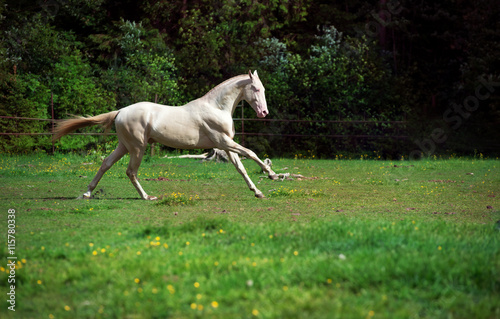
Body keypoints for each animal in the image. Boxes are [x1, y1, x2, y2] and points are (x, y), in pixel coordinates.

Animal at [53, 71, 280, 200]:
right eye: (256, 88)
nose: (264, 112)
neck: (216, 107)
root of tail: (120, 112)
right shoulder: (224, 141)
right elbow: (251, 153)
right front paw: (272, 174)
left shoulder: (226, 144)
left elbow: (241, 168)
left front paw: (258, 192)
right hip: (137, 148)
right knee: (130, 172)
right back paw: (147, 197)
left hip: (124, 146)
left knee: (106, 164)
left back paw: (87, 193)